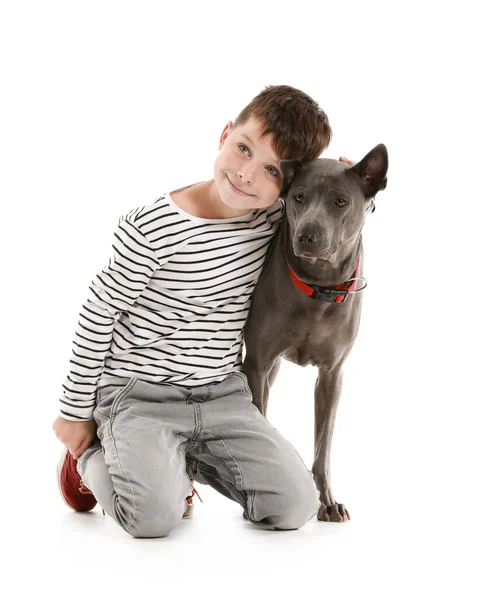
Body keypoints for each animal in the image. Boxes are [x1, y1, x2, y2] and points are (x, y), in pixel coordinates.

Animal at [245, 144, 390, 520]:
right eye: (298, 196)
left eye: (340, 201)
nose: (307, 236)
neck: (318, 287)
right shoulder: (257, 364)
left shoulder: (332, 375)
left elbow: (323, 447)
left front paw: (327, 502)